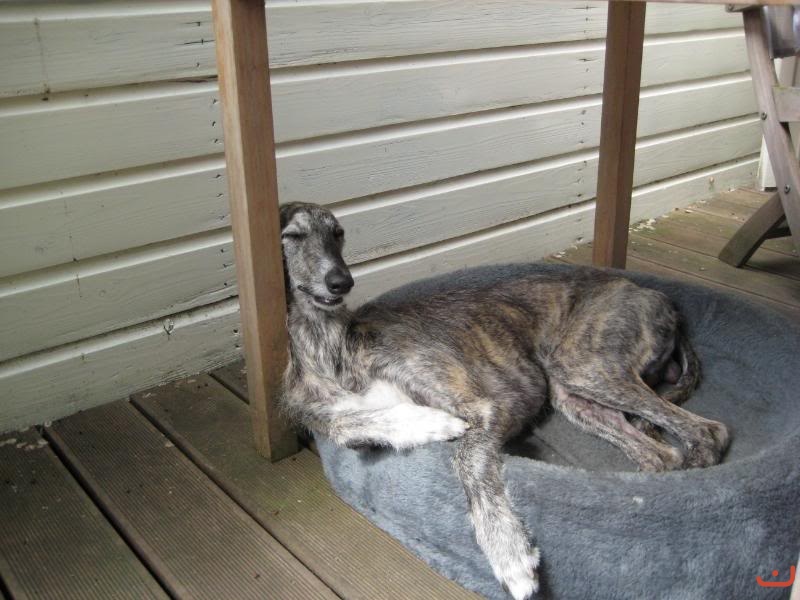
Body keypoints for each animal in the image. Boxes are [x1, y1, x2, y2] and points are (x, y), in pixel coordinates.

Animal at [278, 202, 730, 599]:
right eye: (292, 235)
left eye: (339, 232)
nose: (340, 282)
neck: (333, 347)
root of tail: (659, 297)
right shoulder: (326, 413)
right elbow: (345, 427)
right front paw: (422, 423)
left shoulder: (482, 408)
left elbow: (465, 458)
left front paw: (508, 553)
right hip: (573, 393)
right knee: (661, 454)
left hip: (585, 366)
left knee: (709, 433)